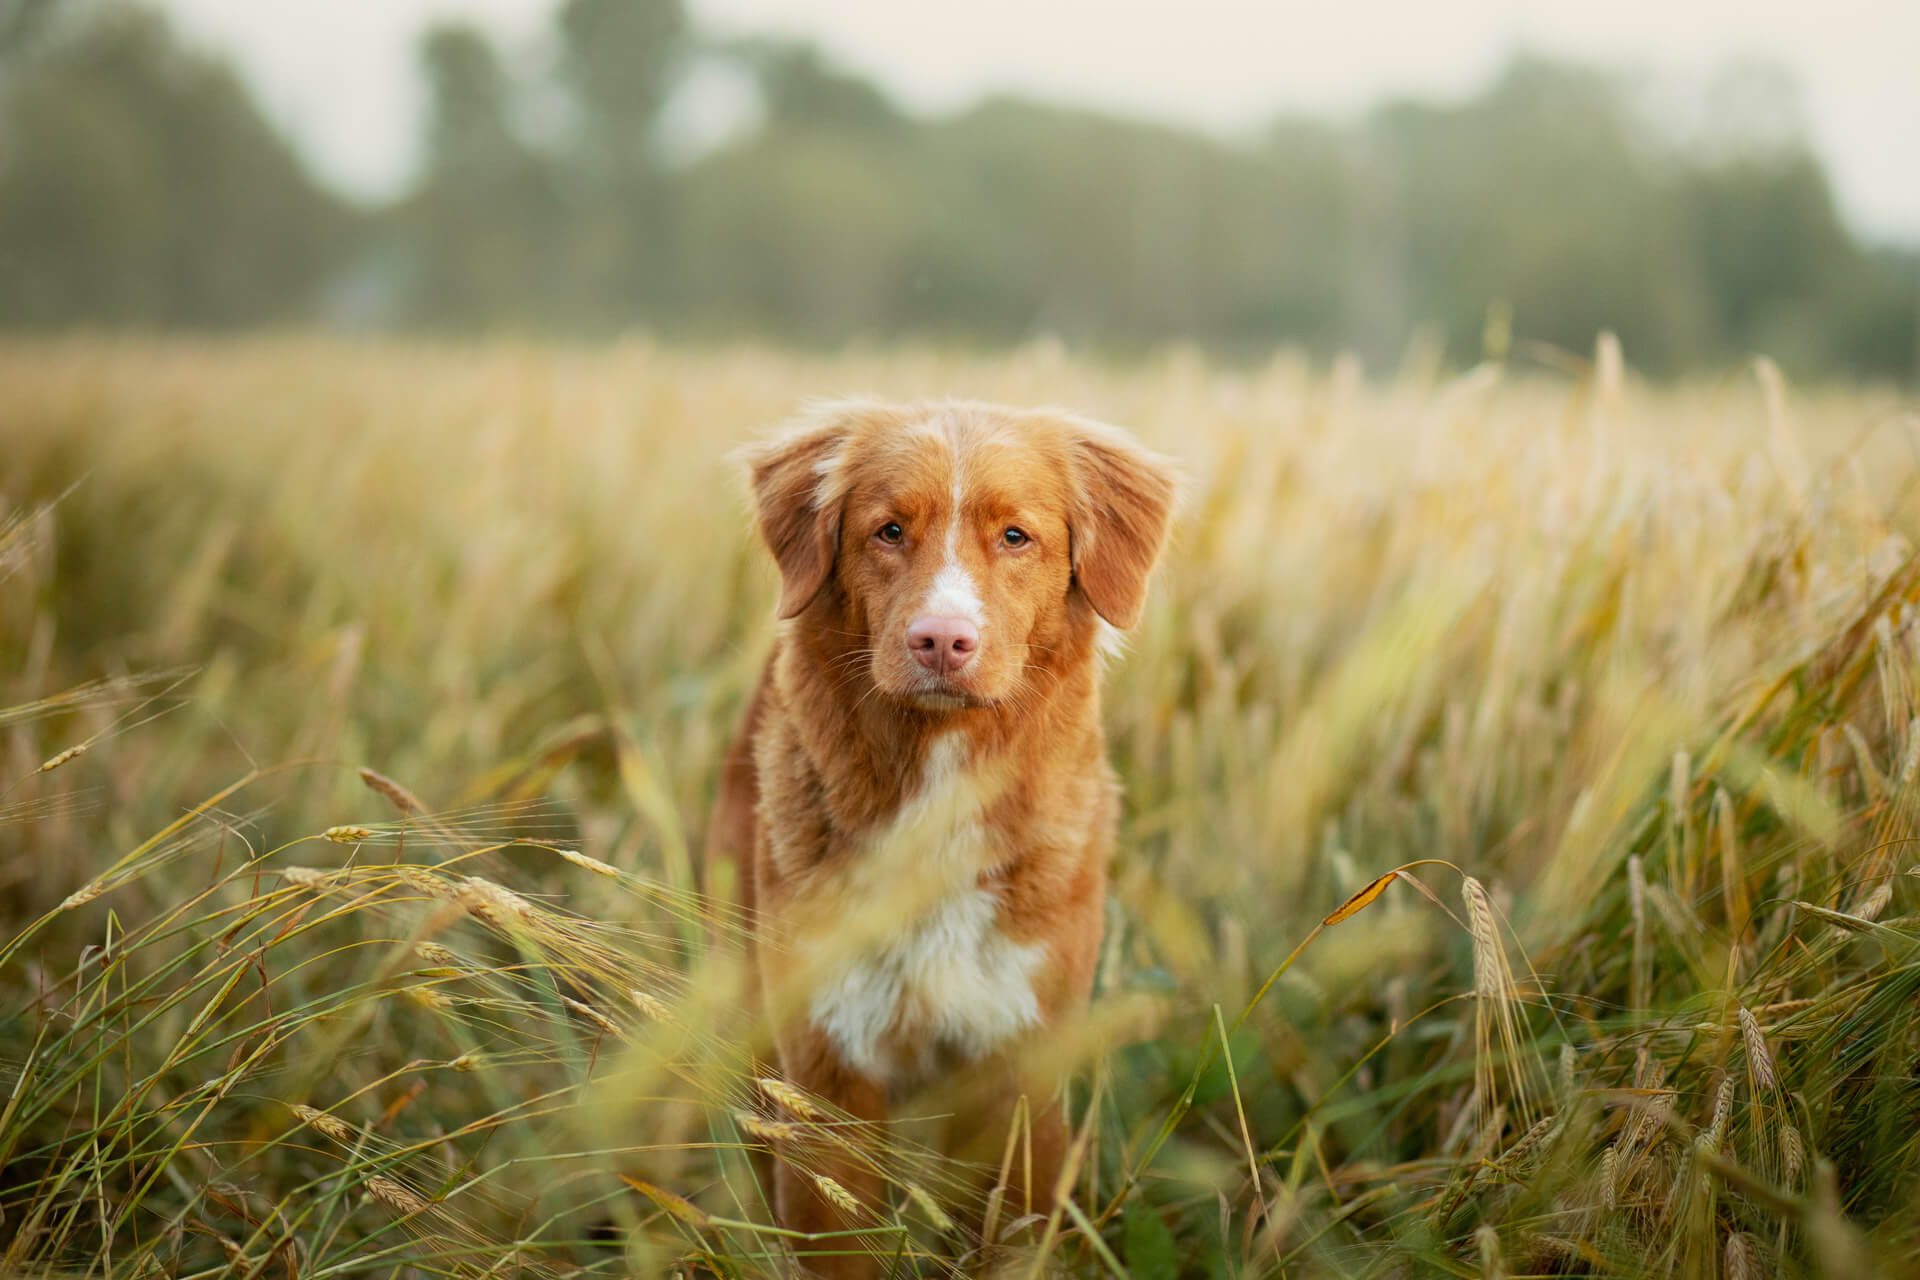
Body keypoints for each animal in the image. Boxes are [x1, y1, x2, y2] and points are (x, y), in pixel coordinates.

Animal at [710, 397, 1175, 1274]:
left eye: (1016, 536)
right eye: (888, 531)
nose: (941, 641)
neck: (939, 779)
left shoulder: (1019, 1069)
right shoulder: (827, 1070)